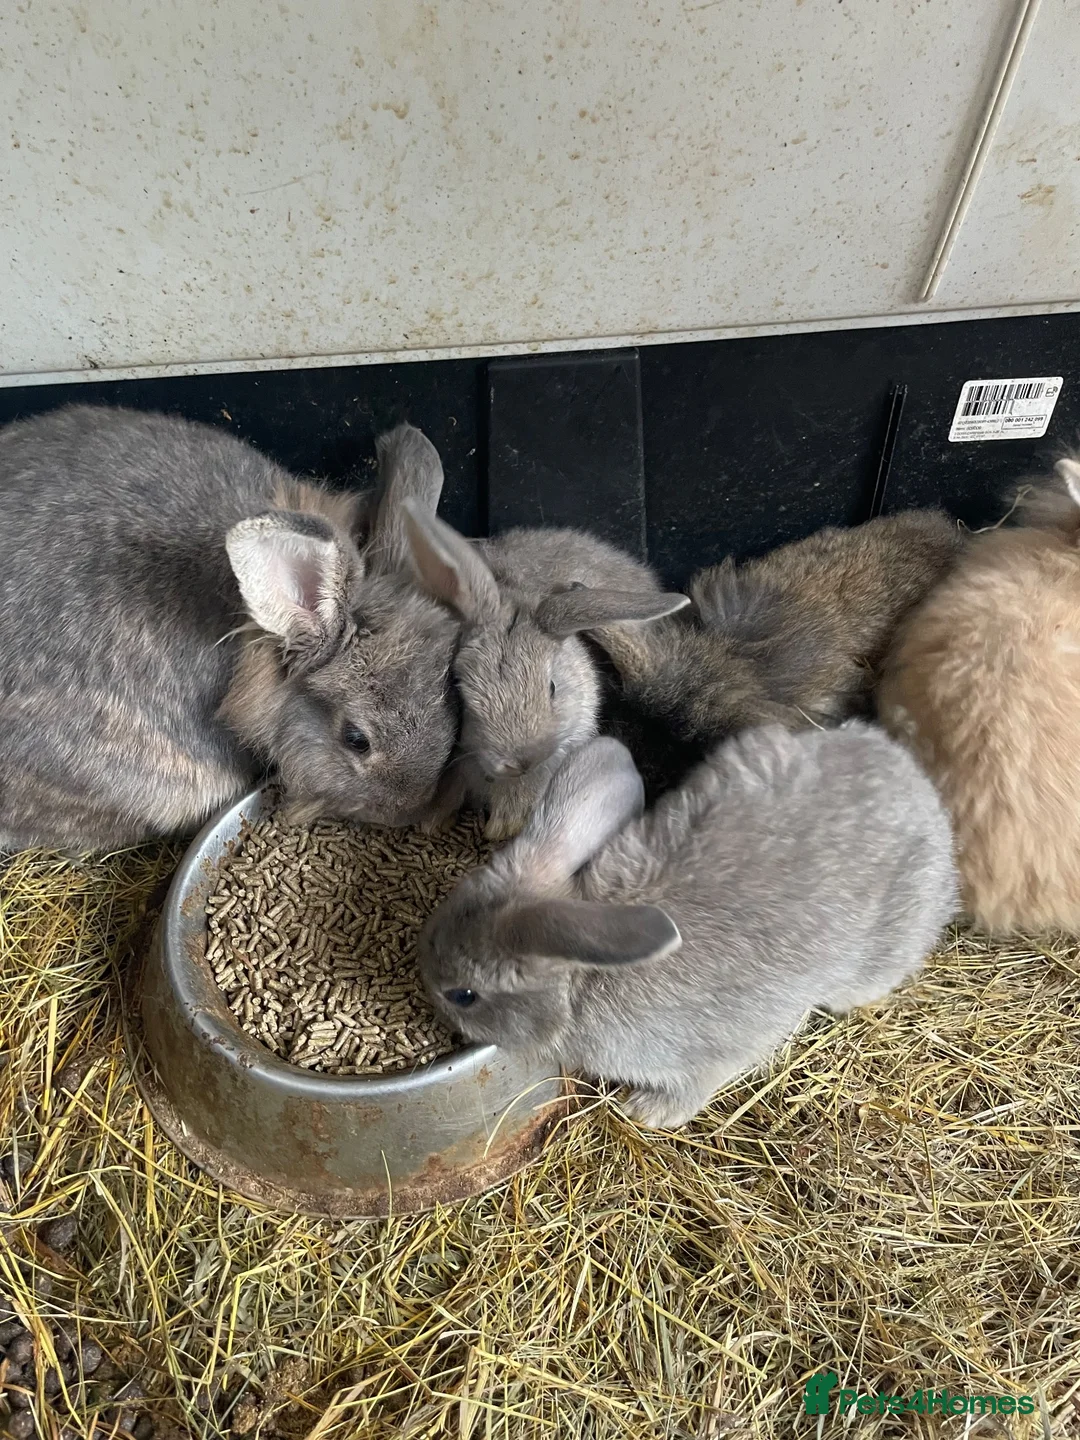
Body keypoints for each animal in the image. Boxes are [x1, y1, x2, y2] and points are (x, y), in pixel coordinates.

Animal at [418, 721, 958, 1129]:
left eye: (463, 995)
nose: (425, 987)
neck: (580, 982)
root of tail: (924, 795)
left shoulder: (710, 1052)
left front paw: (647, 1111)